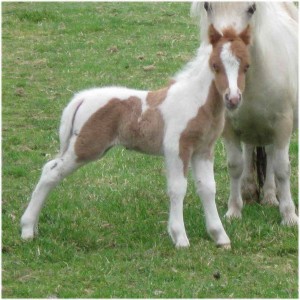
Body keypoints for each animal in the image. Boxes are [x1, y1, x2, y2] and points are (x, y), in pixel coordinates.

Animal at [20, 25, 251, 247]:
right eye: (215, 65)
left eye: (246, 66)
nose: (232, 99)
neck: (196, 101)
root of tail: (81, 98)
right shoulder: (177, 148)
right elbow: (178, 189)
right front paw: (180, 238)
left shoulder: (203, 150)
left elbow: (208, 188)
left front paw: (220, 237)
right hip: (86, 148)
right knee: (50, 172)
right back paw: (27, 230)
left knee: (50, 169)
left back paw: (33, 227)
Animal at [192, 0, 298, 225]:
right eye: (207, 6)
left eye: (251, 8)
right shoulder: (229, 128)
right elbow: (234, 165)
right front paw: (234, 210)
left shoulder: (282, 125)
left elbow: (282, 168)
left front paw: (289, 215)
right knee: (250, 149)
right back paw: (249, 192)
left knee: (270, 154)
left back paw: (269, 196)